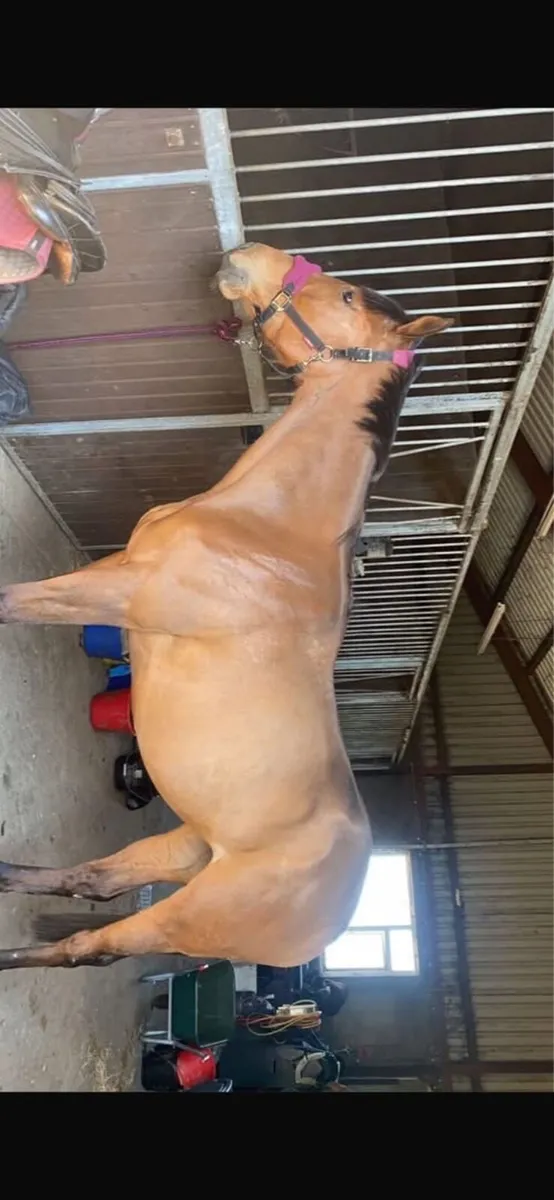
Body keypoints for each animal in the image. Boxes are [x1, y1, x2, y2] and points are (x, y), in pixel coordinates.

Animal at [0, 242, 452, 972]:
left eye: (348, 296)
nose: (250, 254)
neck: (267, 530)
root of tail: (333, 924)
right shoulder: (115, 570)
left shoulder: (121, 592)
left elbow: (10, 601)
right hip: (183, 847)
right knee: (95, 881)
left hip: (182, 915)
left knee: (88, 947)